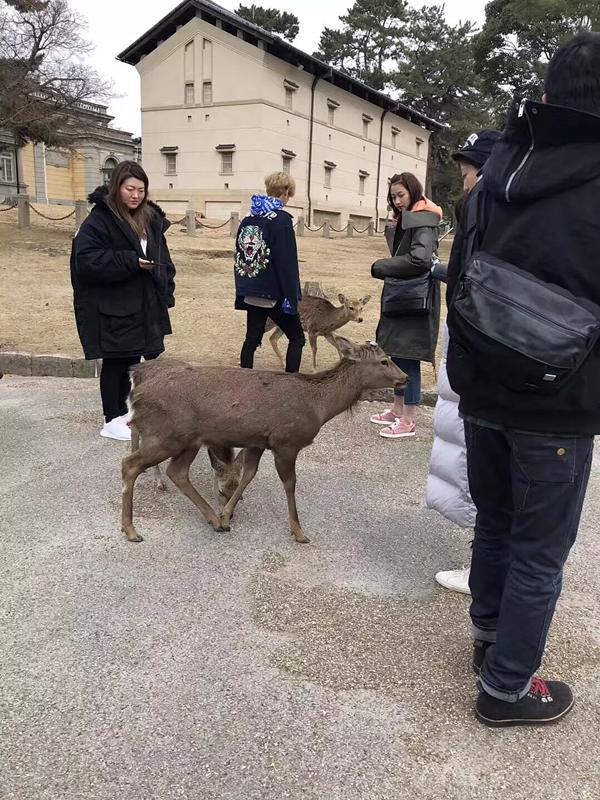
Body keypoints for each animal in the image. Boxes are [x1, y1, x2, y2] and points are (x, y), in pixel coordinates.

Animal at [121, 338, 406, 545]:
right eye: (384, 361)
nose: (405, 377)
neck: (318, 407)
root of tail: (136, 391)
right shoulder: (286, 441)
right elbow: (290, 484)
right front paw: (299, 532)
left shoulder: (257, 441)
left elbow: (248, 474)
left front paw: (226, 517)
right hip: (165, 435)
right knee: (130, 464)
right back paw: (131, 530)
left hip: (188, 440)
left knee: (177, 472)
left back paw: (212, 520)